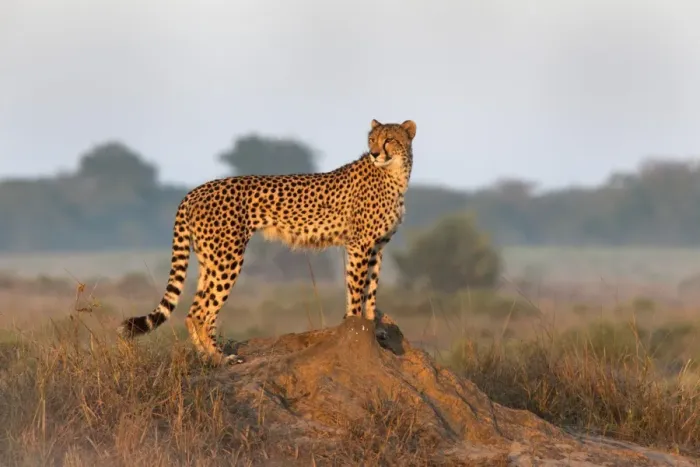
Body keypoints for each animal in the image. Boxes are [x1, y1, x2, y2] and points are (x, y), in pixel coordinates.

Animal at [117, 118, 417, 365]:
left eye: (389, 139)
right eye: (372, 139)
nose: (375, 153)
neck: (394, 174)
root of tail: (195, 191)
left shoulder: (377, 247)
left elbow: (371, 290)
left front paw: (372, 327)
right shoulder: (359, 245)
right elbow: (356, 290)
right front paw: (354, 328)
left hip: (209, 260)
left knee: (194, 311)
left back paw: (206, 356)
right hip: (227, 258)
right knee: (202, 312)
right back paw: (219, 358)